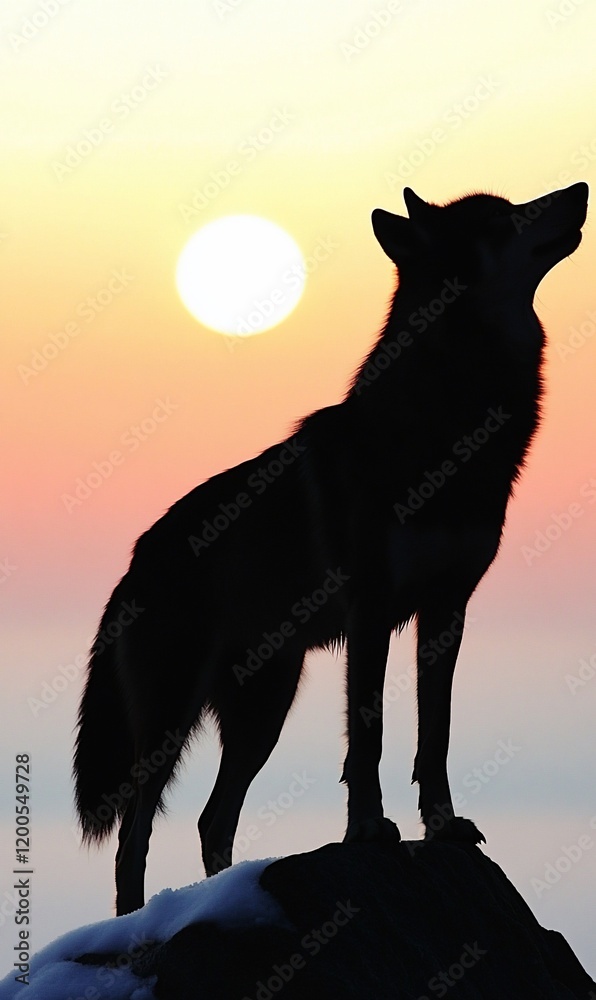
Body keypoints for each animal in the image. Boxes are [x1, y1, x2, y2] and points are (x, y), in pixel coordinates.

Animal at [74, 181, 588, 915]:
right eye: (500, 218)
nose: (578, 189)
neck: (450, 416)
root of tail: (135, 560)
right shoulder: (371, 611)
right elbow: (368, 737)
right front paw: (369, 830)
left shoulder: (447, 612)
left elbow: (435, 735)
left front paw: (442, 827)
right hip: (174, 723)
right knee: (134, 836)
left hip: (264, 714)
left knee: (211, 820)